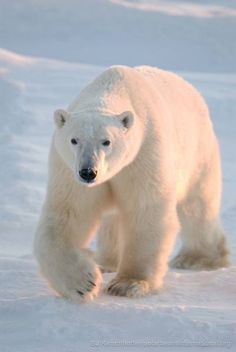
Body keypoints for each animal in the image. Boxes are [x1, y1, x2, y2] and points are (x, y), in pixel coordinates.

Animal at [34, 66, 230, 302]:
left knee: (197, 205)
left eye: (106, 141)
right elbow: (68, 212)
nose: (88, 172)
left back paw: (197, 258)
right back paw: (105, 262)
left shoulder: (144, 153)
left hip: (197, 152)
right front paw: (84, 283)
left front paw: (128, 284)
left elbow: (145, 210)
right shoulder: (68, 169)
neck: (113, 88)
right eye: (74, 140)